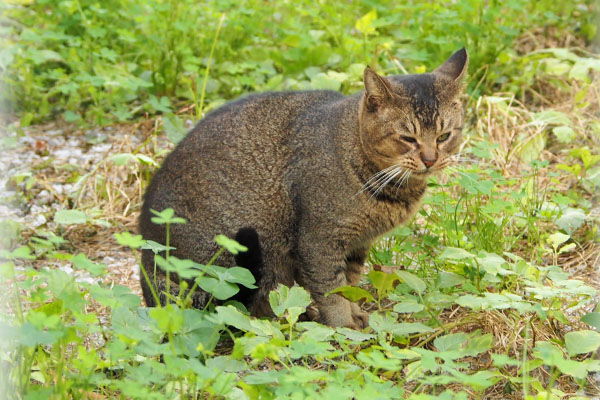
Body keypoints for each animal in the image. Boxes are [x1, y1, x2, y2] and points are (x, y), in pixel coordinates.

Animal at [139, 47, 468, 328]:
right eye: (408, 138)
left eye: (444, 136)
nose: (430, 159)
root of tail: (148, 282)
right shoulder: (319, 240)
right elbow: (331, 290)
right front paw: (343, 325)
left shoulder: (356, 245)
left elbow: (349, 284)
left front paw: (354, 313)